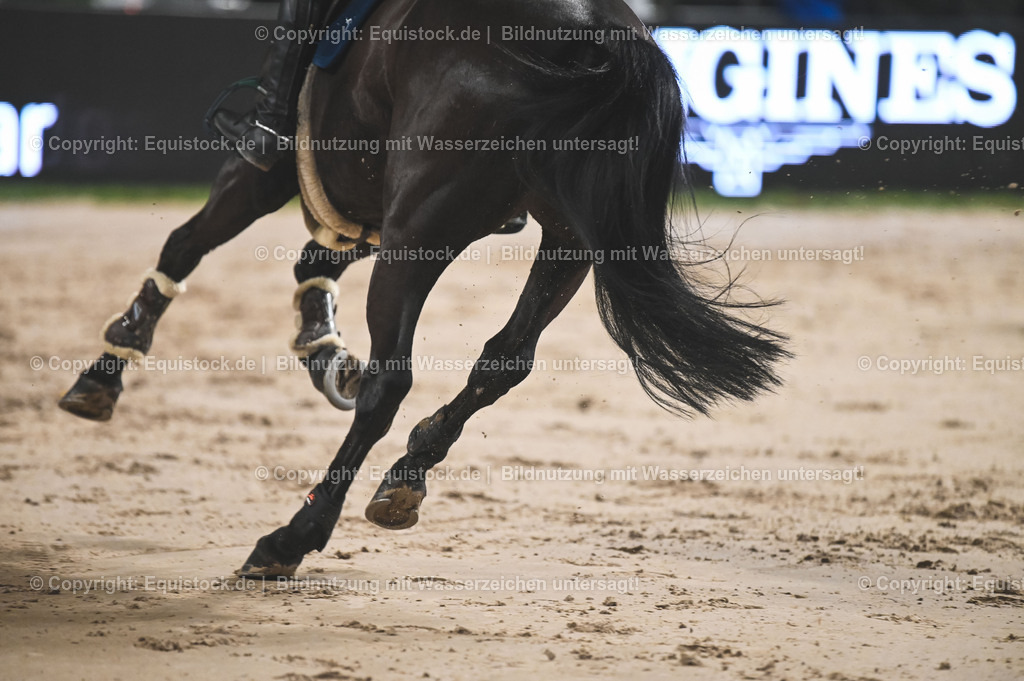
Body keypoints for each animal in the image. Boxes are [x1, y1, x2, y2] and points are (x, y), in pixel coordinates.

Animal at [58, 0, 788, 577]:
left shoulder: (284, 165)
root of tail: (595, 35)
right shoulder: (363, 193)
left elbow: (188, 241)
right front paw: (325, 347)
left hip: (420, 228)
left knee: (391, 383)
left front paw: (108, 365)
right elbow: (313, 262)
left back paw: (292, 537)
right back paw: (407, 473)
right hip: (565, 239)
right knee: (503, 360)